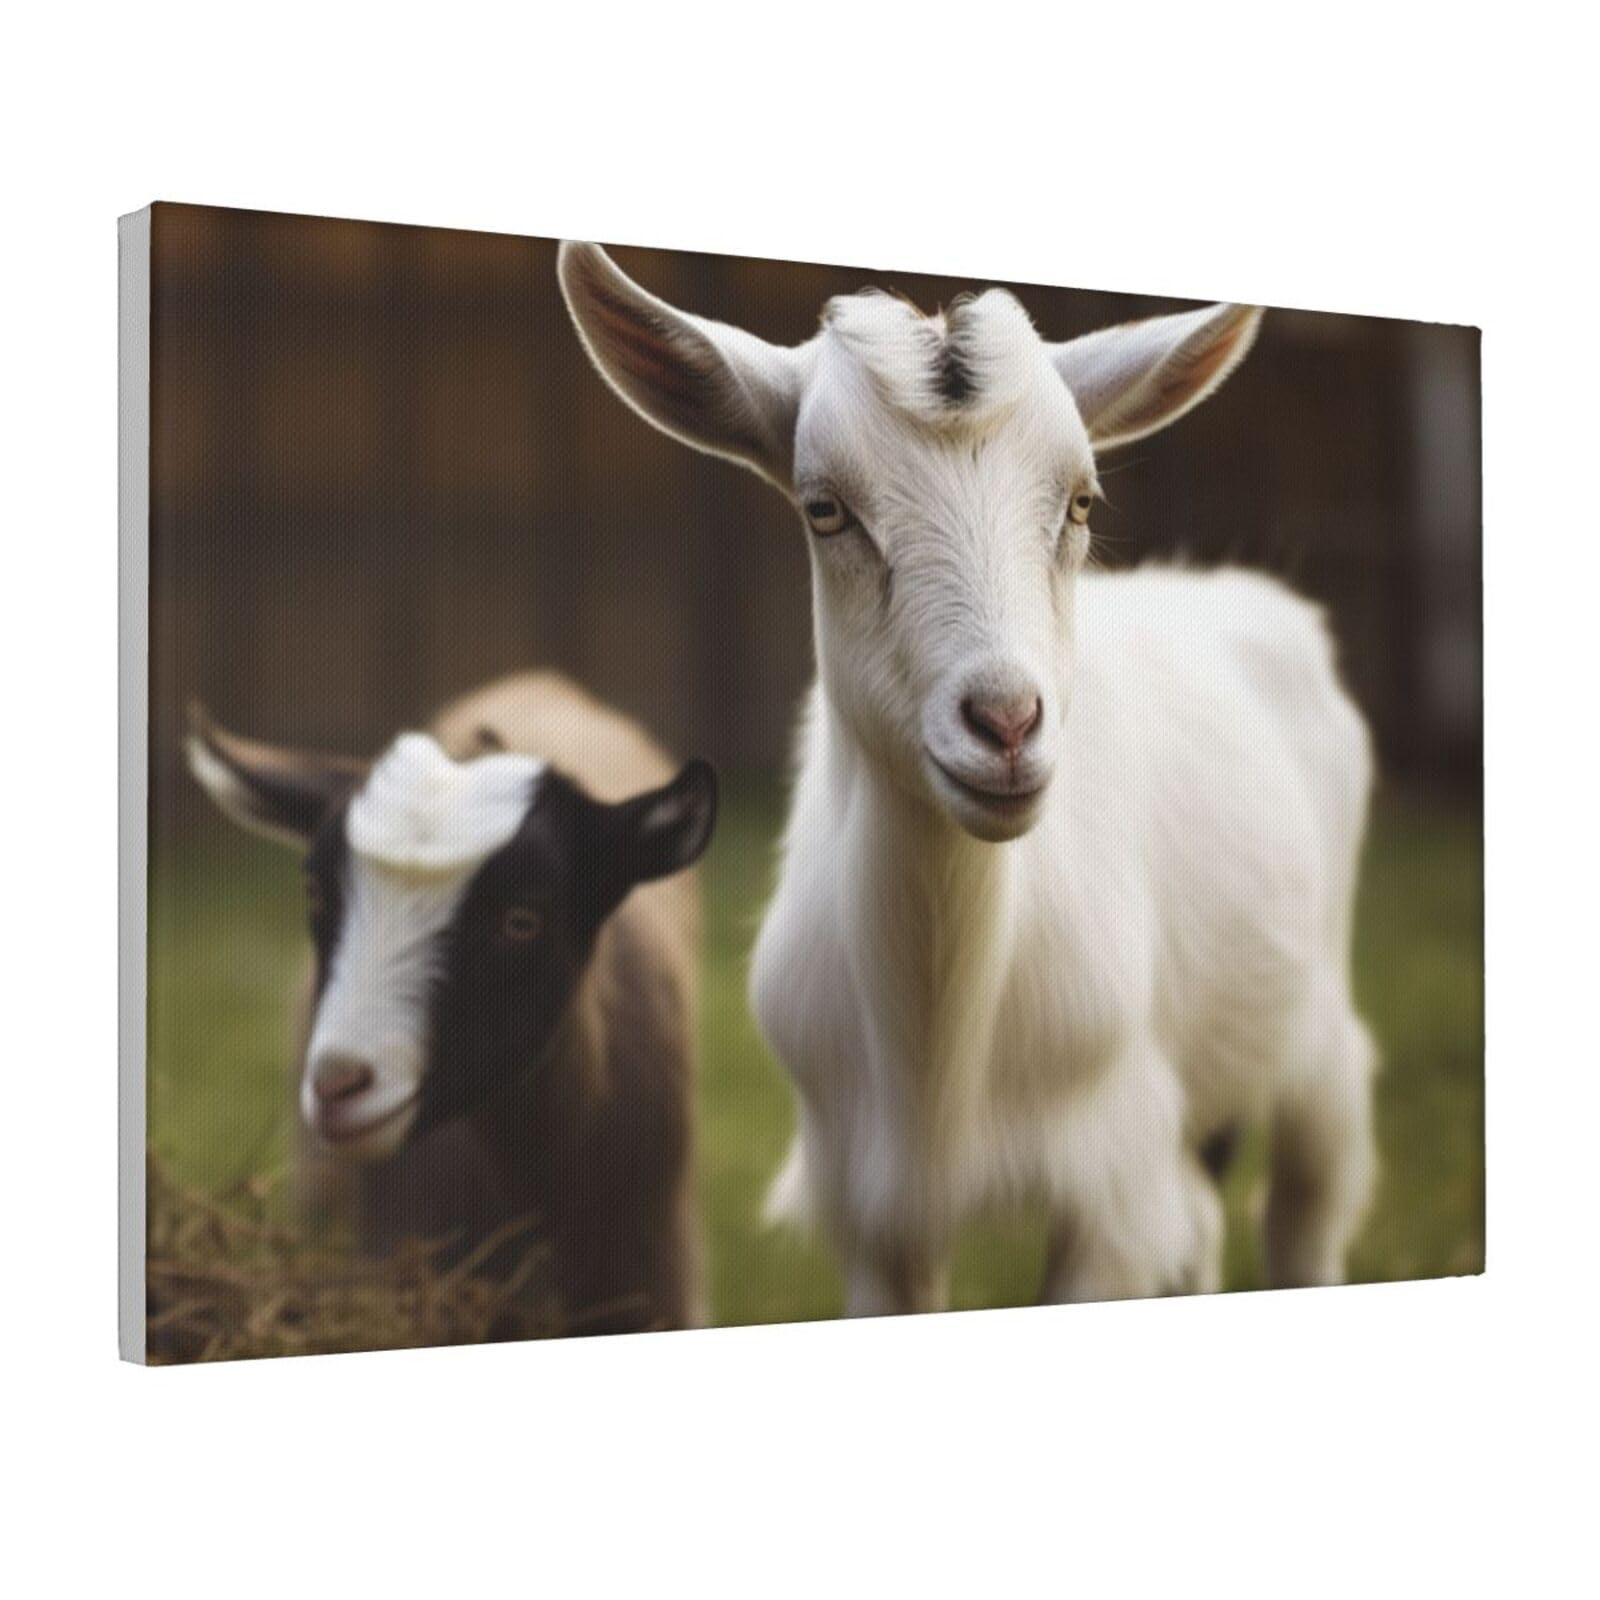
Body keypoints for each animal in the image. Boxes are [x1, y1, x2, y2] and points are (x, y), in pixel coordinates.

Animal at [560, 244, 1377, 1312]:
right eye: (824, 508)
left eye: (1081, 502)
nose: (1006, 724)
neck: (939, 1061)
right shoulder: (872, 1206)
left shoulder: (1109, 1176)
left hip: (1312, 1040)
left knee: (1305, 1204)